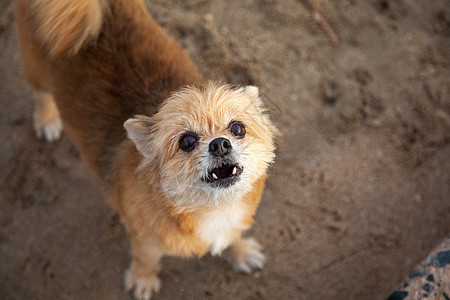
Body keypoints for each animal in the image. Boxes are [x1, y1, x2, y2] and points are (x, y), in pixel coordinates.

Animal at [15, 0, 278, 298]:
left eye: (237, 128)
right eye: (186, 141)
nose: (220, 144)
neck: (213, 209)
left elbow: (233, 236)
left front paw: (240, 252)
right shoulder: (144, 239)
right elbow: (146, 259)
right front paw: (143, 279)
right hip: (34, 67)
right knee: (40, 93)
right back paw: (47, 119)